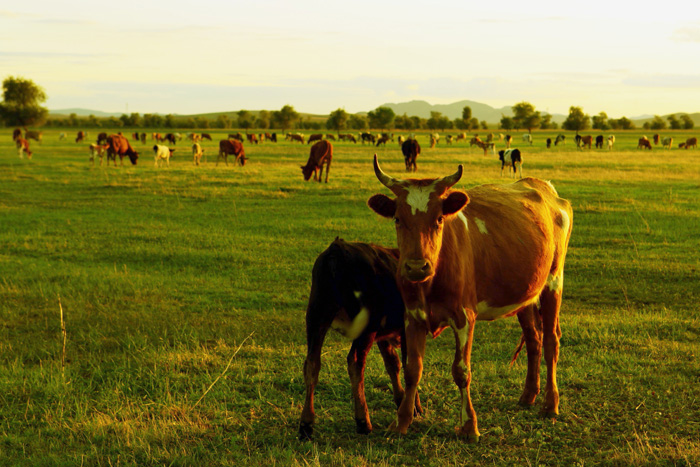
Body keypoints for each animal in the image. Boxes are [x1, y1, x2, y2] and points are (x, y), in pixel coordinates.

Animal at [296, 239, 422, 440]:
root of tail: (337, 248)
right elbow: (408, 366)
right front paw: (414, 407)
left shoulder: (384, 336)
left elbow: (393, 364)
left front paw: (400, 399)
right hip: (366, 326)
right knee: (355, 361)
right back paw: (363, 421)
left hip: (316, 315)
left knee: (312, 364)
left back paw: (306, 424)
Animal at [366, 156, 576, 442]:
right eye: (398, 219)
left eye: (439, 219)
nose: (417, 266)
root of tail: (545, 188)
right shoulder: (413, 316)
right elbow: (412, 370)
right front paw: (401, 422)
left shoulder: (464, 316)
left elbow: (461, 370)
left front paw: (469, 426)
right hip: (527, 292)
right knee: (534, 339)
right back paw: (528, 395)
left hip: (554, 280)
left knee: (551, 341)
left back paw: (550, 404)